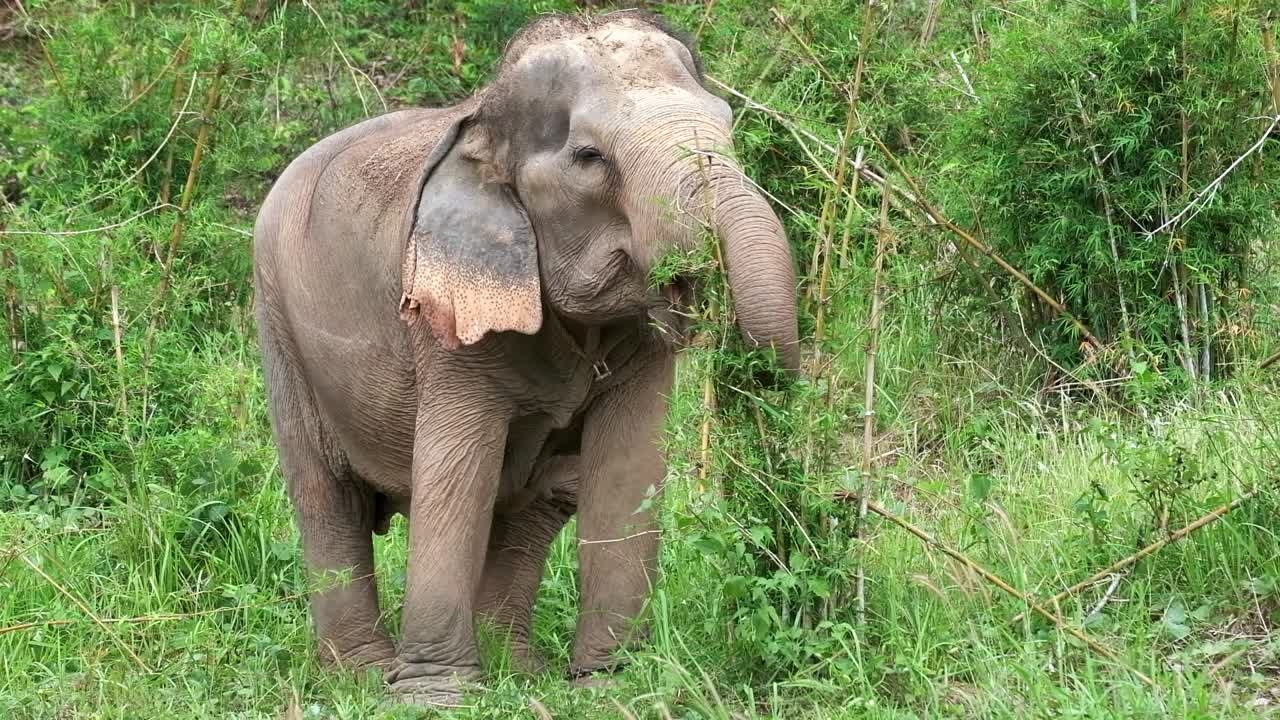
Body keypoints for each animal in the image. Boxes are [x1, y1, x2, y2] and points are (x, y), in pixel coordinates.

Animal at [252, 9, 799, 706]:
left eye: (728, 123)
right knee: (327, 496)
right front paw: (437, 699)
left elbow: (626, 468)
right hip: (279, 323)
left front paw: (612, 688)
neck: (483, 123)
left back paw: (517, 669)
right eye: (589, 158)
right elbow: (457, 474)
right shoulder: (448, 323)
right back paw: (362, 675)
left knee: (536, 502)